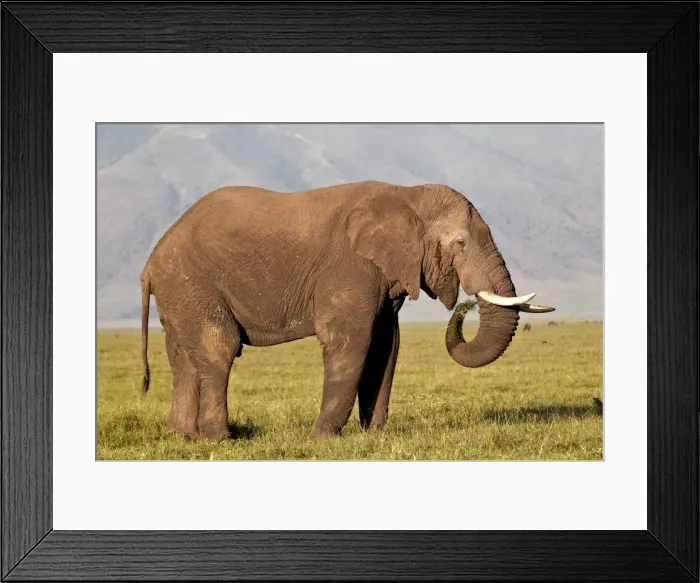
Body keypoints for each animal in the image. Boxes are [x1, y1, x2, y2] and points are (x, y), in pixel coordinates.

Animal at [140, 180, 554, 440]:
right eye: (460, 243)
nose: (463, 306)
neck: (407, 195)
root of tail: (150, 263)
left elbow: (386, 347)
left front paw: (374, 436)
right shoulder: (349, 267)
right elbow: (350, 343)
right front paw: (323, 439)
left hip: (179, 294)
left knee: (182, 359)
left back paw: (184, 437)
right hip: (194, 283)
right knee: (219, 350)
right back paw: (220, 440)